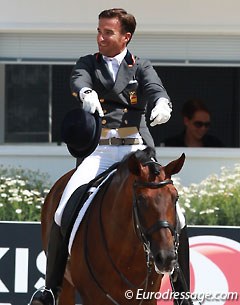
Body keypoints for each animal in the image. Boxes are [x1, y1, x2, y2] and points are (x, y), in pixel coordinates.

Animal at [40, 146, 186, 302]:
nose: (166, 258)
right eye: (140, 199)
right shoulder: (92, 297)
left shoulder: (149, 298)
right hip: (66, 286)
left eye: (175, 197)